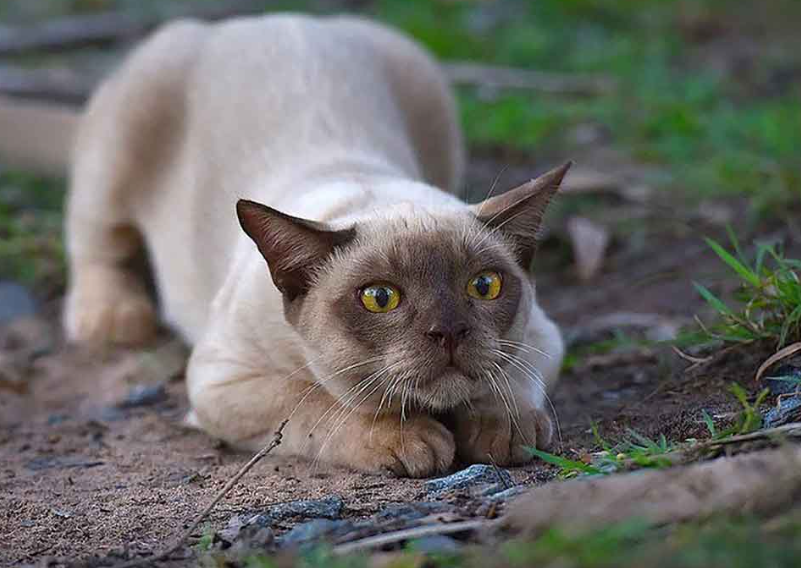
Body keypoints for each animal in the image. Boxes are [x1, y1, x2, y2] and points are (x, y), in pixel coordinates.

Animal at [0, 13, 564, 478]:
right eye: (380, 298)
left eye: (484, 286)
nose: (449, 332)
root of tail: (270, 18)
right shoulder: (222, 380)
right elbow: (314, 402)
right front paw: (411, 440)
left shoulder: (543, 336)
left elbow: (510, 375)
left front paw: (501, 429)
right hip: (121, 145)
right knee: (97, 237)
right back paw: (115, 318)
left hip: (429, 87)